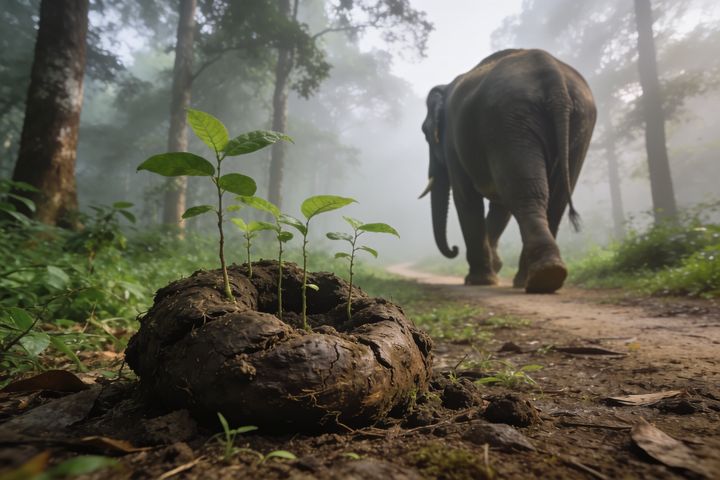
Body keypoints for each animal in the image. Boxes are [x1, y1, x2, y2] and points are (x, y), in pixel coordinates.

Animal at [420, 49, 596, 293]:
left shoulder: (453, 144)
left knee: (524, 193)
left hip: (509, 122)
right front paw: (494, 267)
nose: (454, 249)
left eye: (426, 133)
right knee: (552, 200)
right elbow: (500, 206)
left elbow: (466, 197)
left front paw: (480, 280)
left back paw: (540, 277)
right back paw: (541, 277)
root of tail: (553, 76)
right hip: (571, 127)